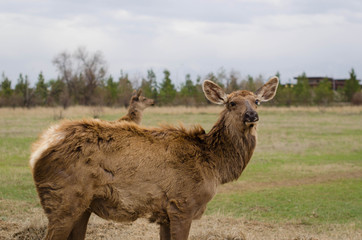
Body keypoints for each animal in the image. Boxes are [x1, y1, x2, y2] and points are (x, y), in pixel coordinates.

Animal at [30, 76, 280, 238]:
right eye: (231, 103)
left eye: (257, 101)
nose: (252, 115)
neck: (214, 165)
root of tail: (39, 148)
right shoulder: (182, 204)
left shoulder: (165, 213)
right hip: (62, 198)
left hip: (83, 205)